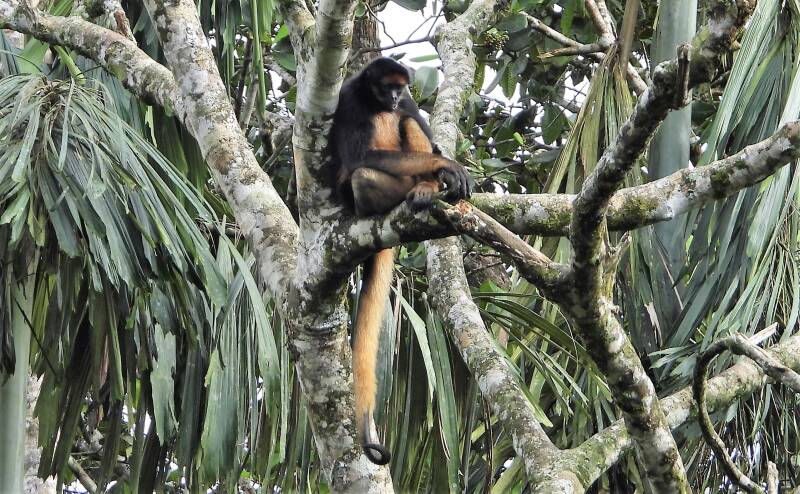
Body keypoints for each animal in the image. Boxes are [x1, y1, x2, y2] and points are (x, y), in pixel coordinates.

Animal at [329, 57, 472, 465]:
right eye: (385, 86)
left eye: (399, 87)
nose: (393, 98)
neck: (375, 101)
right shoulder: (348, 96)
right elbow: (361, 158)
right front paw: (447, 165)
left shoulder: (405, 100)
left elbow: (420, 128)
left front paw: (444, 168)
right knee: (362, 174)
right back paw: (417, 189)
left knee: (407, 122)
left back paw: (428, 186)